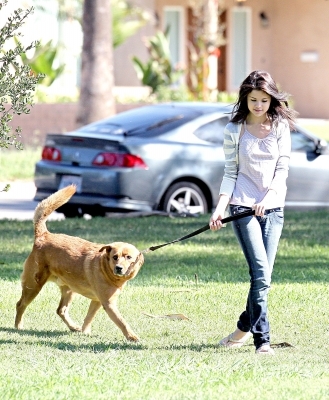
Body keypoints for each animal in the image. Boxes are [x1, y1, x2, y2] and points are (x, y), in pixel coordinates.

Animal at [15, 184, 144, 340]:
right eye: (115, 257)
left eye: (129, 257)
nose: (119, 268)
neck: (105, 268)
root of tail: (43, 235)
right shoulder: (108, 303)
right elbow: (122, 322)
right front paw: (132, 337)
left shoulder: (97, 300)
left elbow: (89, 317)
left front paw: (85, 332)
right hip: (33, 285)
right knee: (20, 304)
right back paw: (18, 327)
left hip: (69, 289)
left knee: (61, 310)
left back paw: (74, 327)